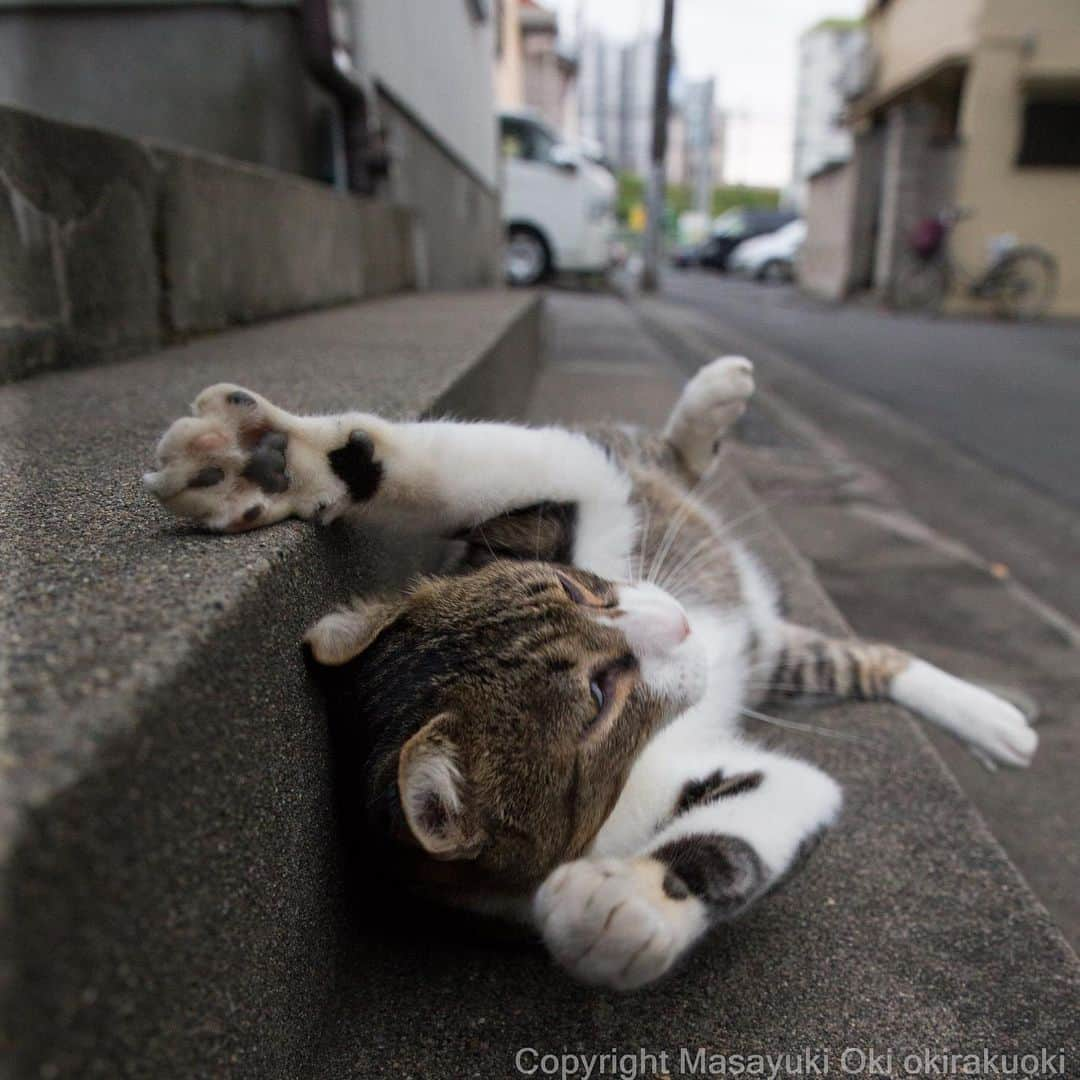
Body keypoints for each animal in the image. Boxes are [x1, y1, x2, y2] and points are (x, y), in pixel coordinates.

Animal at [143, 354, 1036, 989]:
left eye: (577, 588)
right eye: (600, 697)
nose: (679, 621)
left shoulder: (553, 508)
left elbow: (450, 460)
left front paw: (270, 462)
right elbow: (753, 819)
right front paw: (634, 906)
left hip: (649, 490)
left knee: (655, 459)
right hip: (781, 657)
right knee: (860, 659)